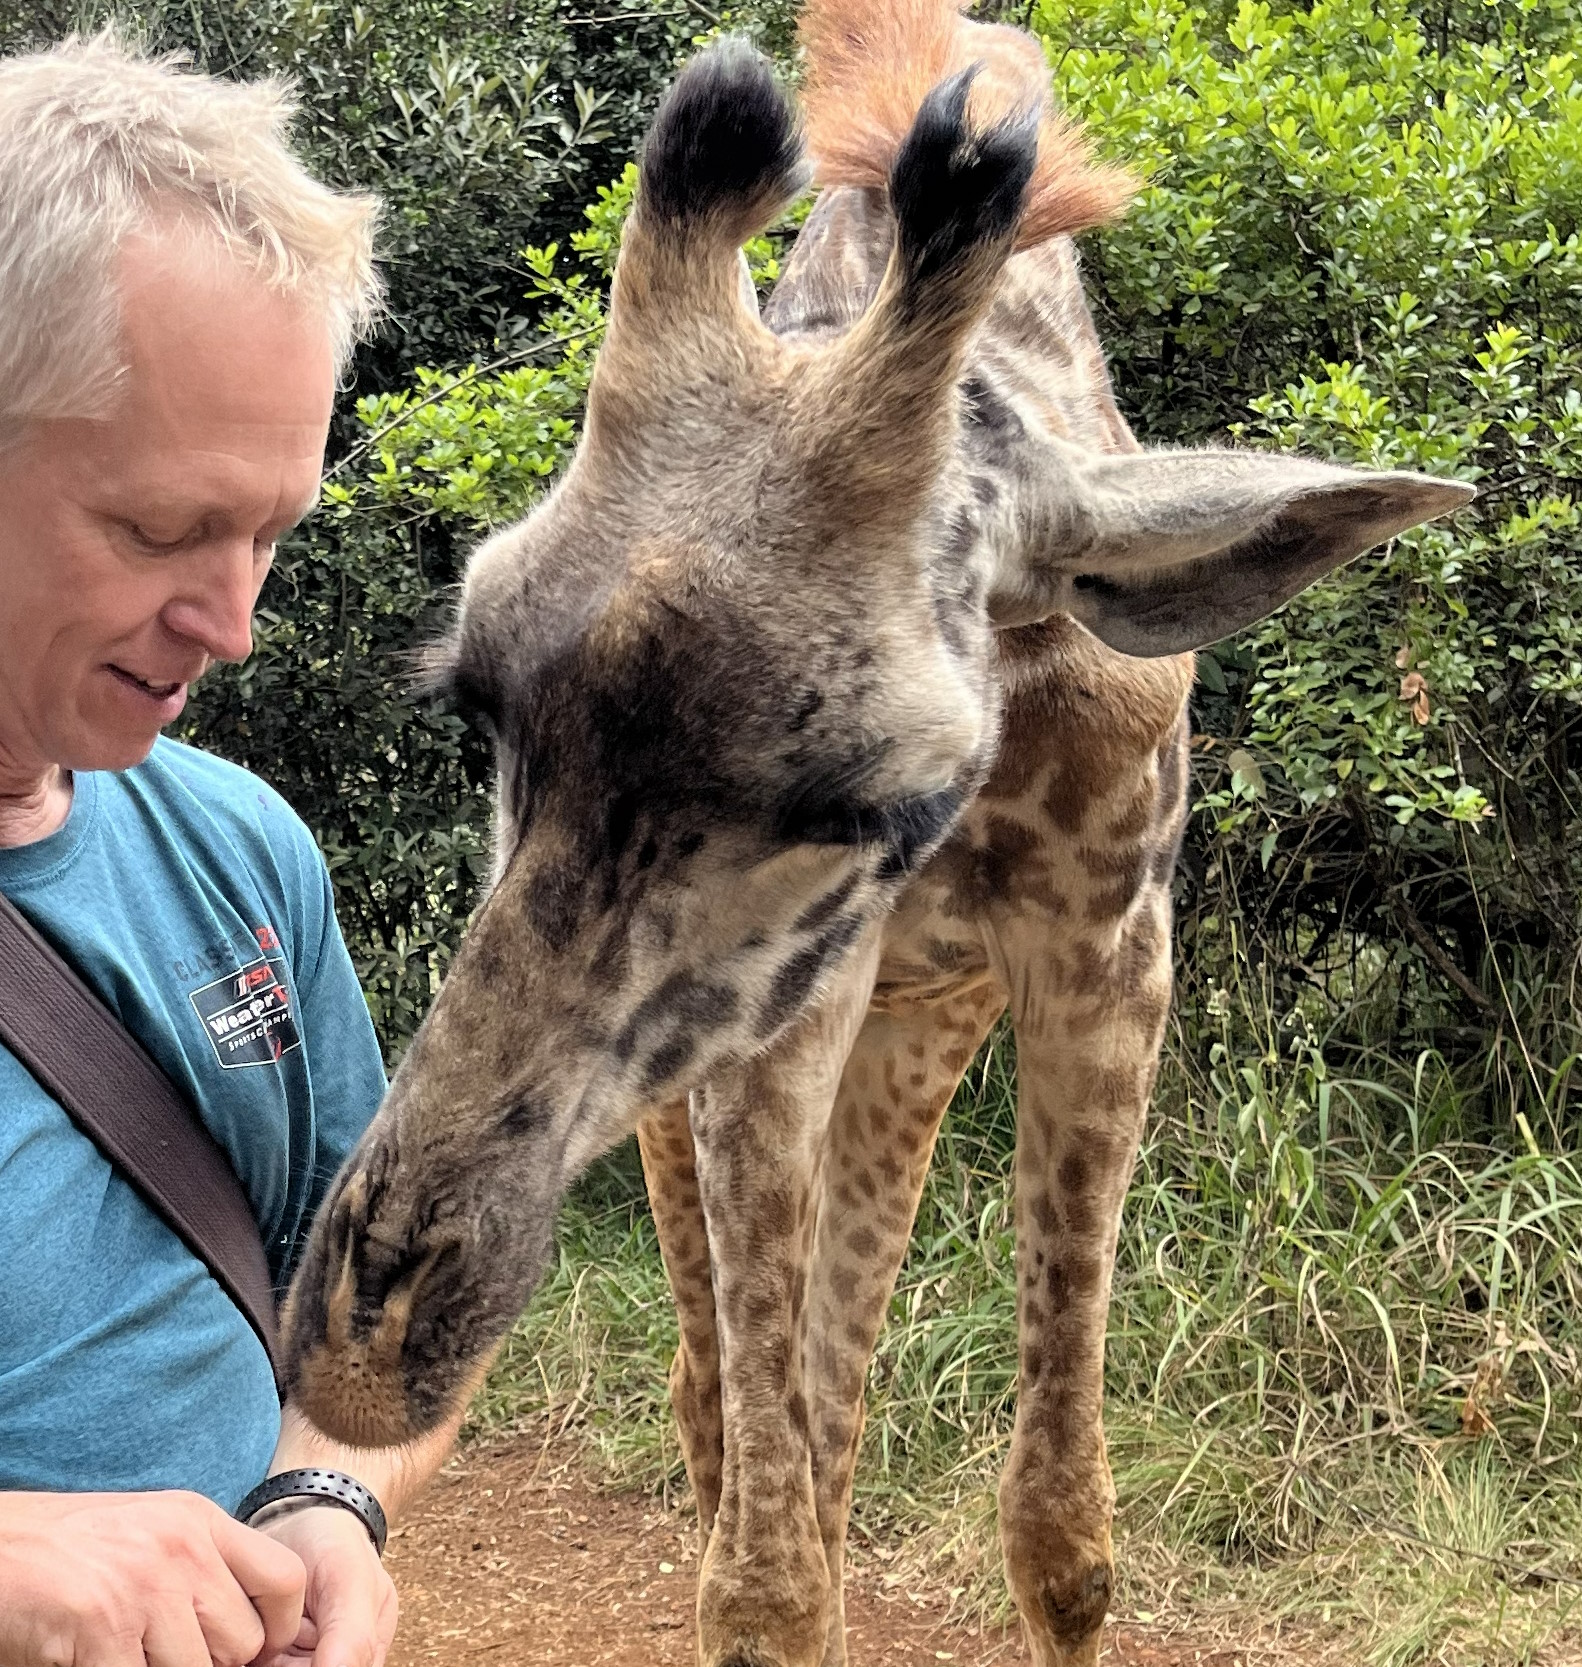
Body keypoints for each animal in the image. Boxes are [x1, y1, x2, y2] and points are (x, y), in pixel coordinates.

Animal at [281, 7, 1472, 1666]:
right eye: (479, 697)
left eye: (876, 797)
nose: (362, 1347)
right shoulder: (788, 1015)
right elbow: (760, 1565)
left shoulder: (1109, 956)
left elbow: (1058, 1533)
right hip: (735, 1076)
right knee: (723, 1409)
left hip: (915, 1028)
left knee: (825, 1401)